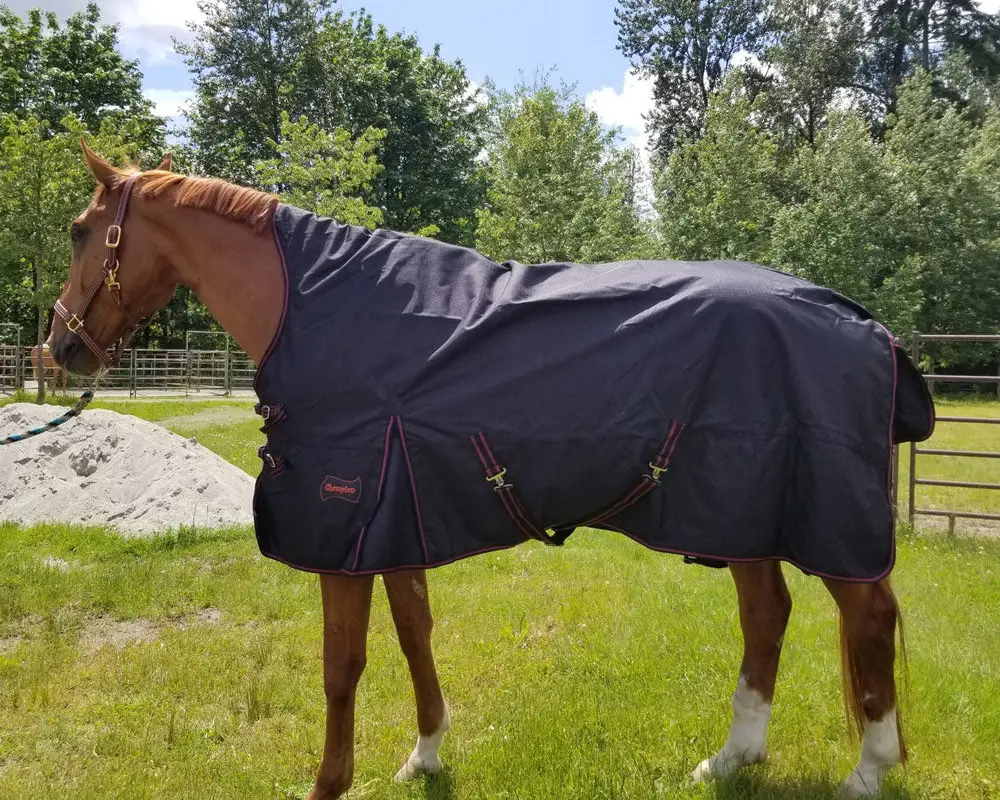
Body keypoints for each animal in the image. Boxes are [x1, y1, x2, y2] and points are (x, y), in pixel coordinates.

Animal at [47, 141, 935, 799]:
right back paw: (729, 760)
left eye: (82, 230)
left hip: (821, 524)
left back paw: (866, 774)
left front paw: (330, 782)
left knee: (868, 620)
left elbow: (342, 667)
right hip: (736, 512)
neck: (319, 307)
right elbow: (414, 635)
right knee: (767, 615)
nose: (59, 349)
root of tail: (865, 324)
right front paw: (425, 755)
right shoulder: (394, 523)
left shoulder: (345, 532)